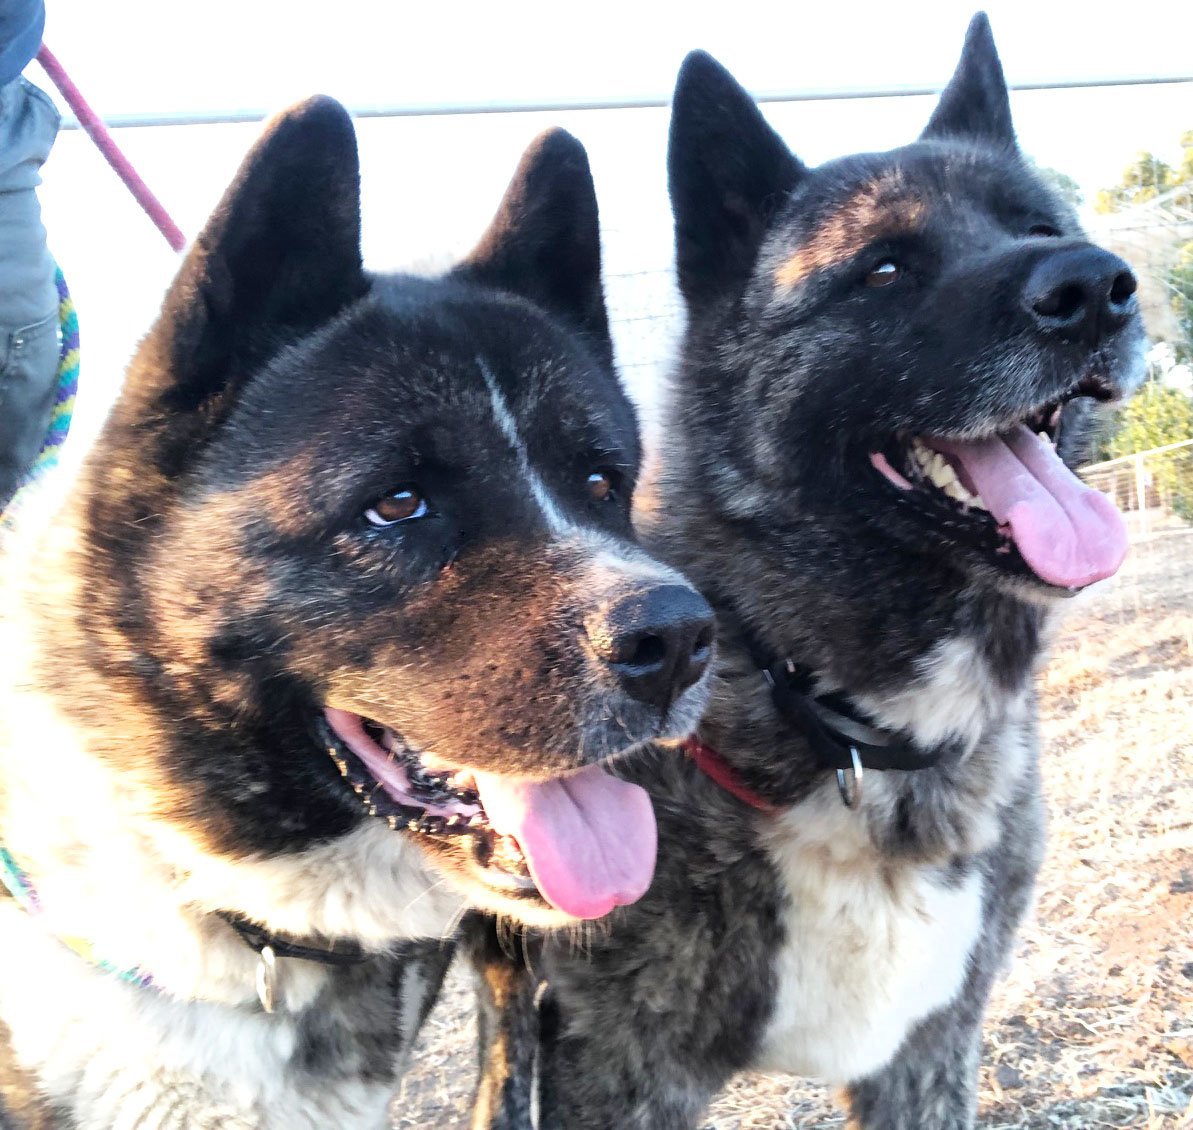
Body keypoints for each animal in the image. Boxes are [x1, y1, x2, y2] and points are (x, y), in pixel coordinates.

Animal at [481, 11, 1145, 1130]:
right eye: (882, 270)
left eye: (1038, 225)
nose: (1095, 285)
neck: (848, 733)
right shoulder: (619, 1072)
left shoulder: (925, 1056)